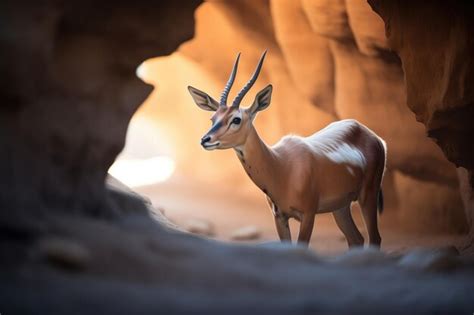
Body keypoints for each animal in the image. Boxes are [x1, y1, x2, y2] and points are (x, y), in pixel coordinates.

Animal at [187, 52, 386, 249]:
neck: (281, 166)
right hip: (341, 207)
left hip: (368, 196)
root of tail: (370, 134)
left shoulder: (308, 215)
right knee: (356, 239)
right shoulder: (279, 217)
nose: (205, 140)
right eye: (213, 118)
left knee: (375, 238)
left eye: (236, 119)